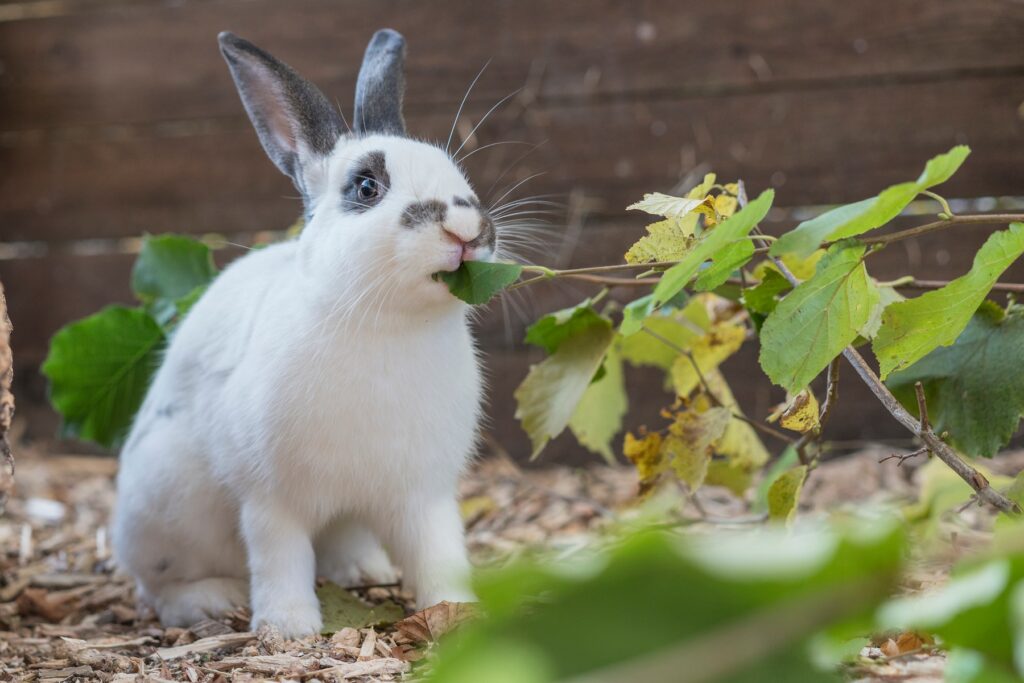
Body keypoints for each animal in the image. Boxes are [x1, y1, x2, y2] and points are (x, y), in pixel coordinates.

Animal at [112, 28, 495, 637]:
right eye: (366, 186)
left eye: (458, 175)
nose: (467, 229)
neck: (391, 325)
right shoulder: (272, 501)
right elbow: (280, 559)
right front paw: (288, 628)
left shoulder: (424, 495)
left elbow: (439, 553)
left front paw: (459, 612)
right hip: (167, 507)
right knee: (159, 587)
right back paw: (212, 602)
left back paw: (364, 568)